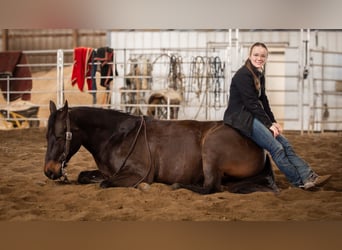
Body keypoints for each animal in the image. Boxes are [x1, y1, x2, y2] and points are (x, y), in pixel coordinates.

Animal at [43, 100, 278, 194]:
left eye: (59, 136)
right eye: (47, 136)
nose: (49, 171)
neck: (117, 135)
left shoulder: (137, 174)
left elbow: (105, 184)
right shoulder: (109, 171)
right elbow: (85, 176)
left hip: (211, 148)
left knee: (210, 187)